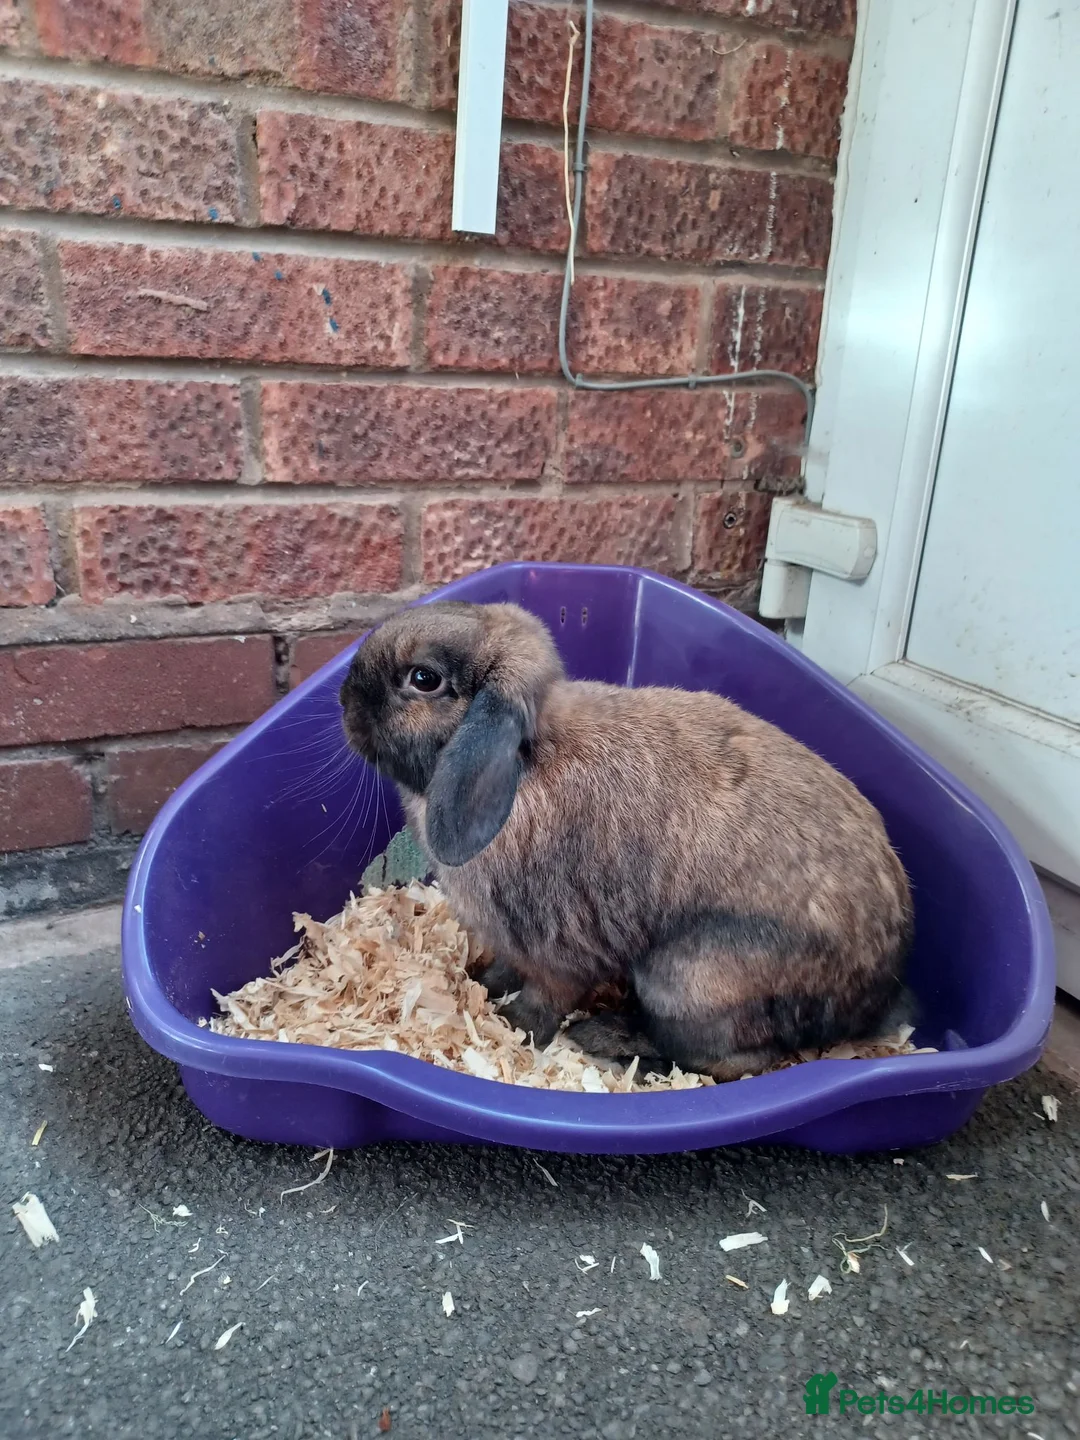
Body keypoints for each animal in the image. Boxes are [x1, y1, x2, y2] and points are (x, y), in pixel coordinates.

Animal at [339, 600, 914, 1080]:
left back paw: (614, 1045)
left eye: (423, 678)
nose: (343, 699)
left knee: (737, 1061)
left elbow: (546, 996)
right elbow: (505, 967)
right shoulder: (510, 941)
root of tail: (873, 997)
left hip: (686, 981)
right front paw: (482, 984)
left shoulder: (556, 948)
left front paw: (518, 1028)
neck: (529, 761)